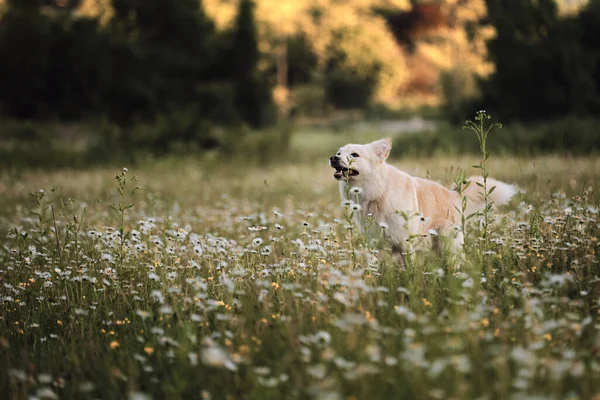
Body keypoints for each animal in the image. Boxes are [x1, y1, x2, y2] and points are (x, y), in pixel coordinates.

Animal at [330, 138, 516, 266]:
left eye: (354, 155)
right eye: (339, 153)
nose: (333, 158)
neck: (378, 191)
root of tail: (451, 193)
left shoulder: (404, 243)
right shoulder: (380, 244)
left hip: (449, 245)